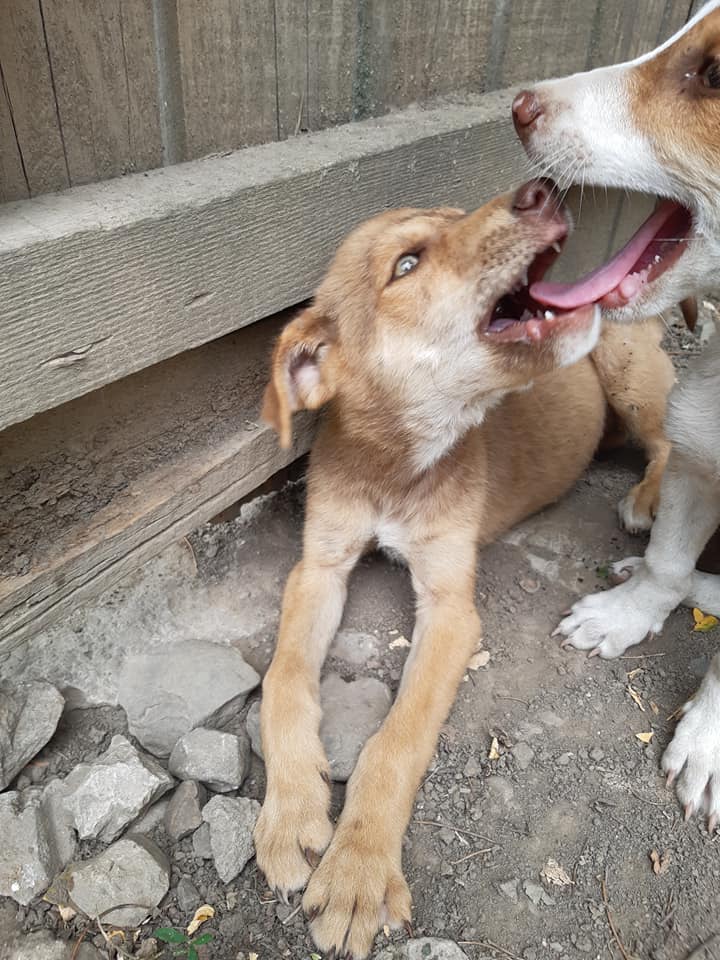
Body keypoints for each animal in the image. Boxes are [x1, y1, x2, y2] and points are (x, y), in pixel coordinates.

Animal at [256, 182, 672, 960]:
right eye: (406, 263)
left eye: (454, 216)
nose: (541, 190)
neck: (398, 462)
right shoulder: (319, 566)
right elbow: (283, 682)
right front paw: (292, 812)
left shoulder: (451, 606)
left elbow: (396, 739)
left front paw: (357, 872)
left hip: (630, 370)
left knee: (669, 439)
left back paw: (648, 497)